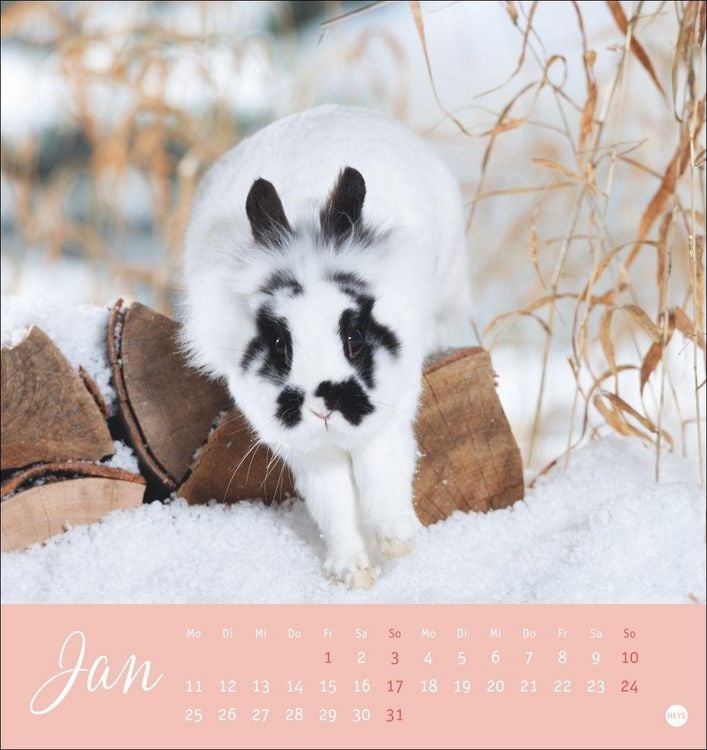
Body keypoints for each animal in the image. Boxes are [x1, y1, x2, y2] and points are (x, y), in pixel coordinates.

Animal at [181, 105, 472, 589]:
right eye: (280, 343)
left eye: (353, 338)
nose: (321, 407)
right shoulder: (306, 453)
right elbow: (333, 505)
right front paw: (352, 573)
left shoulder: (390, 418)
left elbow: (383, 473)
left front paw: (397, 544)